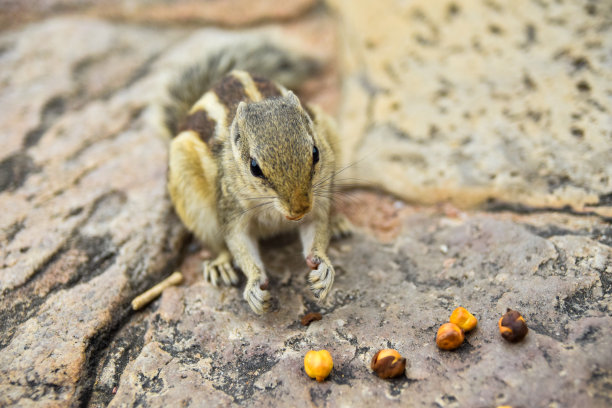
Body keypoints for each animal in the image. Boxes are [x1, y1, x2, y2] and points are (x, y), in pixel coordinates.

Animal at [163, 40, 352, 316]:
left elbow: (316, 228)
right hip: (191, 195)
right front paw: (253, 284)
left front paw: (324, 267)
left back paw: (336, 222)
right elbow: (239, 243)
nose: (299, 209)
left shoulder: (317, 203)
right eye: (254, 167)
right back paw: (220, 265)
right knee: (216, 243)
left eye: (316, 152)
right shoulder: (231, 208)